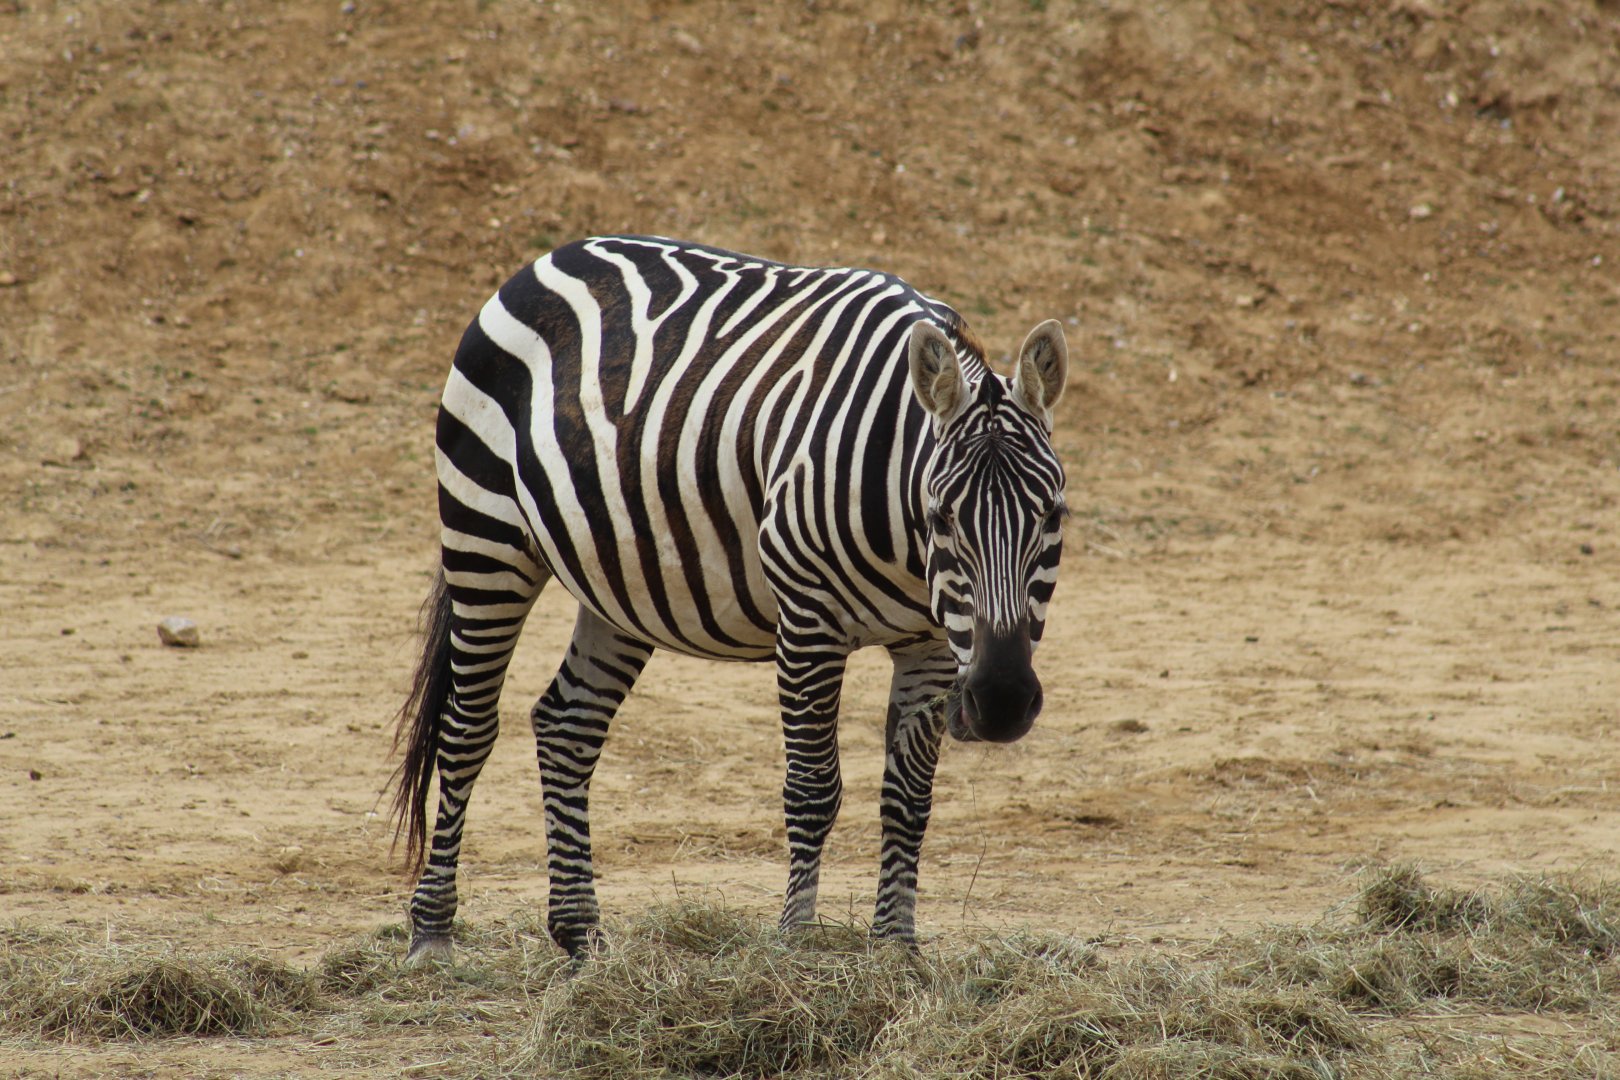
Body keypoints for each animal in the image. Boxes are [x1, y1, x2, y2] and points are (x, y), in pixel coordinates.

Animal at [393, 235, 1070, 962]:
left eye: (1054, 515)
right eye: (942, 517)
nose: (1002, 701)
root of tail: (553, 255)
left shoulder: (930, 644)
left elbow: (909, 797)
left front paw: (894, 950)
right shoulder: (807, 620)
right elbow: (813, 789)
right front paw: (795, 946)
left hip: (620, 584)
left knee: (566, 725)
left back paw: (581, 937)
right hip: (485, 537)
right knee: (467, 728)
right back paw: (432, 932)